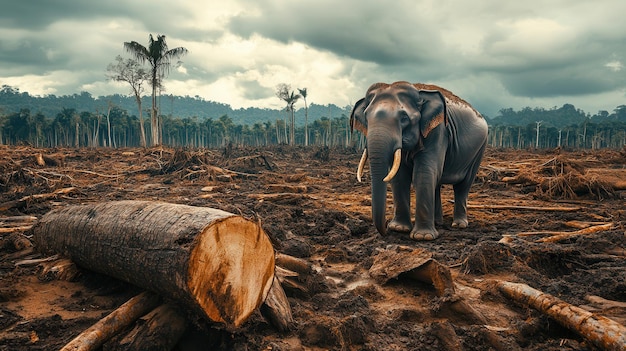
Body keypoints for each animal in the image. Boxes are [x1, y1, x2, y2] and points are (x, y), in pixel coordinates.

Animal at [346, 82, 488, 242]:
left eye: (404, 118)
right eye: (366, 117)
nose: (385, 230)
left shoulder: (438, 131)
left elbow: (423, 173)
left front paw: (423, 236)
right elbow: (400, 176)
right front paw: (399, 229)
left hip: (479, 149)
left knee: (463, 185)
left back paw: (459, 225)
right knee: (436, 182)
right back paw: (437, 222)